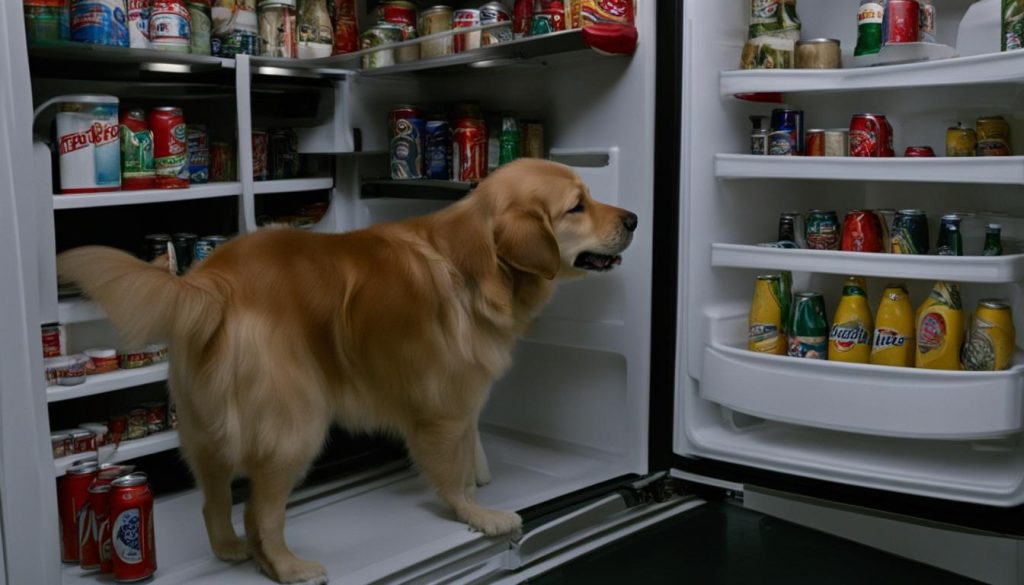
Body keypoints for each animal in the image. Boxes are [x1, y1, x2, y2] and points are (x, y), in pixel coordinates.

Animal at [56, 157, 634, 581]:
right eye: (576, 206)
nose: (631, 219)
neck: (476, 261)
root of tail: (214, 282)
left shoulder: (459, 402)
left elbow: (469, 453)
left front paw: (481, 483)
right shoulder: (444, 403)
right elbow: (452, 475)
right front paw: (478, 514)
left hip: (205, 427)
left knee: (215, 501)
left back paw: (230, 549)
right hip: (295, 427)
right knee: (260, 512)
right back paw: (286, 566)